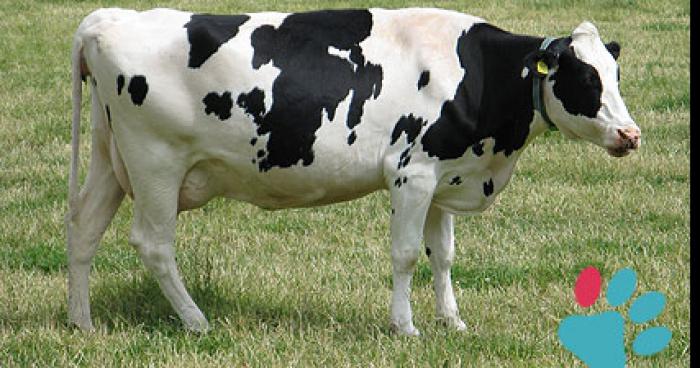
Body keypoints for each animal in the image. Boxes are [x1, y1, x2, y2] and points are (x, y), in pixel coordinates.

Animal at [65, 7, 640, 336]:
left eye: (615, 75)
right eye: (586, 80)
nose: (631, 134)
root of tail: (106, 18)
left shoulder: (445, 174)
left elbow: (443, 255)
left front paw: (453, 322)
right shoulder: (412, 173)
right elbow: (406, 254)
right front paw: (405, 327)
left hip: (109, 157)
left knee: (85, 228)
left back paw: (82, 323)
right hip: (155, 162)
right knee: (154, 244)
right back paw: (196, 321)